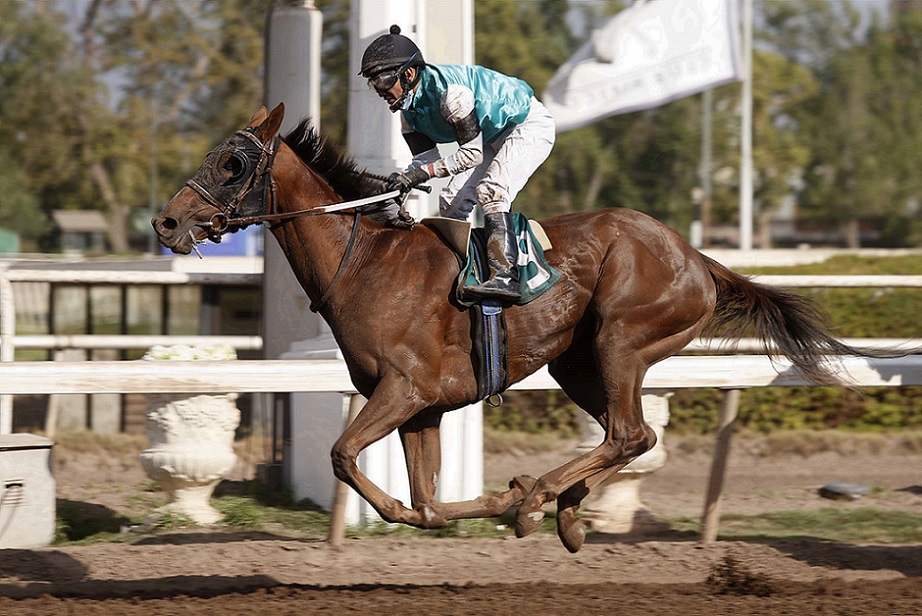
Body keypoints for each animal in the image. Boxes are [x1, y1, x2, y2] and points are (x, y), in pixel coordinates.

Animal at [152, 103, 875, 552]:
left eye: (232, 164)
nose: (165, 221)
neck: (366, 261)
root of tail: (698, 258)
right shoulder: (421, 407)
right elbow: (427, 505)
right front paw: (497, 498)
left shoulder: (404, 390)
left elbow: (344, 456)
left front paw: (511, 497)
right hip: (577, 362)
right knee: (627, 436)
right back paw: (567, 514)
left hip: (621, 340)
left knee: (630, 433)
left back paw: (544, 499)